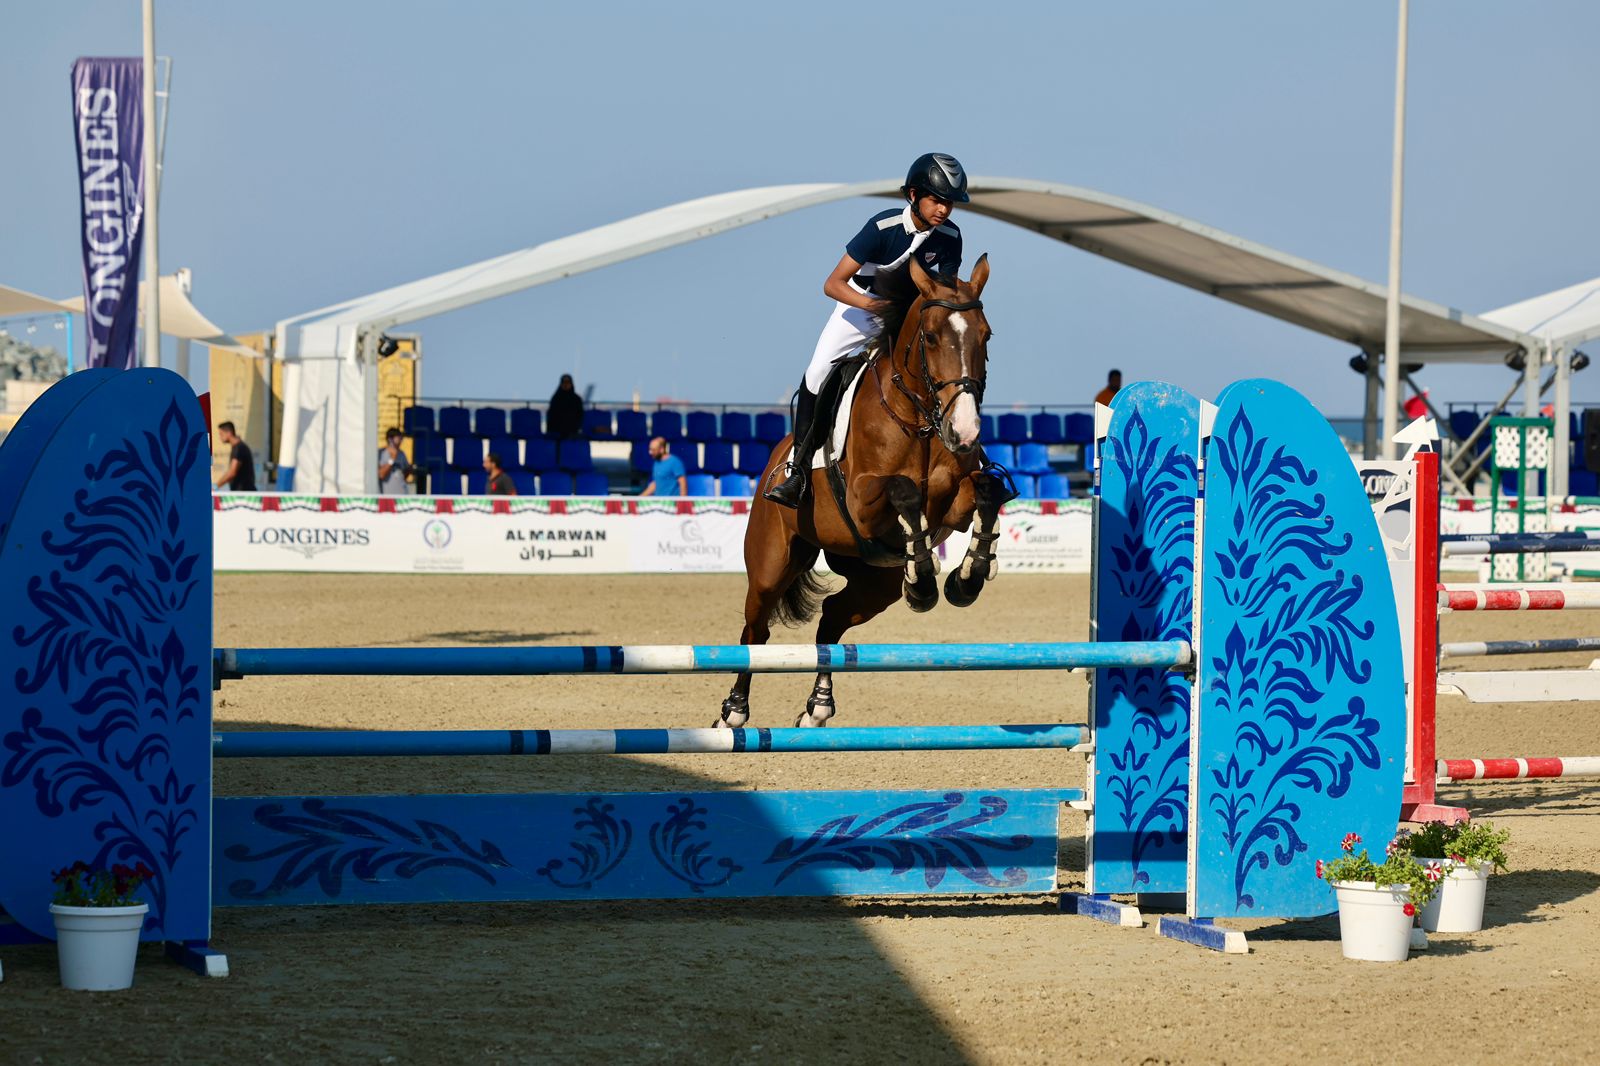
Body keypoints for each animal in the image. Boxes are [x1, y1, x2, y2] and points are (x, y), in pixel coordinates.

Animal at [720, 252, 1004, 726]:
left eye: (987, 336)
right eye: (930, 338)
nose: (965, 432)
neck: (919, 420)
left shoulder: (954, 503)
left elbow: (988, 489)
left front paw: (965, 579)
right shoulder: (862, 500)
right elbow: (905, 491)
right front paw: (925, 581)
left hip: (875, 579)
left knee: (833, 616)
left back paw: (818, 707)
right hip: (772, 564)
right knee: (755, 630)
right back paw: (734, 712)